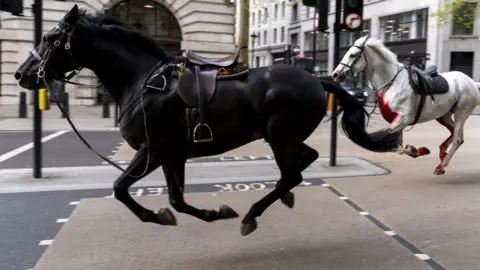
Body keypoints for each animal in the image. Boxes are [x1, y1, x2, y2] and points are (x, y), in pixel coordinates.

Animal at [14, 5, 398, 235]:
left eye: (49, 37)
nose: (21, 74)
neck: (143, 81)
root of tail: (317, 79)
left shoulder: (153, 151)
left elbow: (121, 188)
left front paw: (156, 216)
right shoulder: (173, 155)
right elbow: (177, 200)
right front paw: (210, 213)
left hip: (279, 137)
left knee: (292, 173)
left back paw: (253, 214)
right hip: (282, 137)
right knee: (304, 162)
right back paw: (280, 198)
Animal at [332, 34, 480, 175]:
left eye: (352, 55)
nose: (336, 74)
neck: (393, 82)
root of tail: (472, 82)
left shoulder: (404, 117)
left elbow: (394, 144)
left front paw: (416, 150)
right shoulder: (398, 120)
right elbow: (397, 145)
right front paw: (418, 150)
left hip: (461, 113)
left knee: (458, 139)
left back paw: (441, 166)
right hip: (443, 115)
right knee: (454, 132)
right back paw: (442, 154)